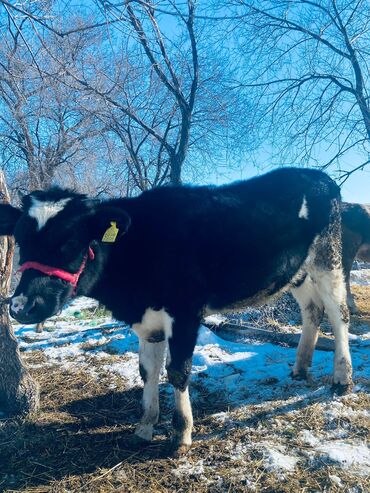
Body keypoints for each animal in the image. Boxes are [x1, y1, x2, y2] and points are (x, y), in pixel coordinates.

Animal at [0, 168, 352, 454]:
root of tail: (320, 176)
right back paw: (301, 367)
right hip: (297, 272)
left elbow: (178, 370)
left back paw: (342, 378)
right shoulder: (147, 319)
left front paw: (181, 435)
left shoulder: (185, 312)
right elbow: (148, 370)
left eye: (70, 241)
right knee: (312, 310)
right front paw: (144, 427)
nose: (21, 307)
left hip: (328, 258)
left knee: (339, 313)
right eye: (21, 240)